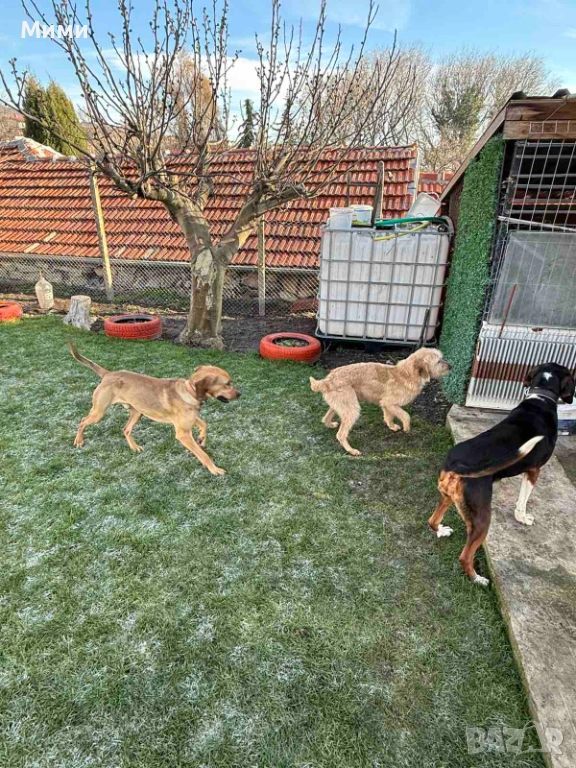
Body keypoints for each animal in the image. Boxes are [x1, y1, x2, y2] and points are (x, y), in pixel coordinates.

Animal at [68, 342, 240, 476]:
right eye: (227, 384)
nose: (240, 394)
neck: (190, 391)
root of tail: (108, 374)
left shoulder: (189, 421)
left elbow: (204, 424)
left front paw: (202, 439)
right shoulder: (183, 434)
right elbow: (203, 454)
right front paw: (214, 469)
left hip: (138, 413)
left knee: (126, 429)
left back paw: (135, 447)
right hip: (99, 412)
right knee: (82, 421)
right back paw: (79, 441)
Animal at [310, 348, 451, 455]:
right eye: (438, 361)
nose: (451, 366)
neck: (408, 373)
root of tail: (326, 381)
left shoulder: (386, 404)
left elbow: (389, 416)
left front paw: (392, 426)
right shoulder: (389, 402)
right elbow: (406, 415)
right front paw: (406, 427)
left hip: (342, 404)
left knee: (326, 417)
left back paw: (330, 424)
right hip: (352, 409)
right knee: (341, 434)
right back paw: (351, 450)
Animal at [428, 362, 575, 586]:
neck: (541, 396)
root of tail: (456, 466)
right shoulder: (534, 470)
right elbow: (522, 501)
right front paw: (522, 518)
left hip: (447, 497)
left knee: (432, 521)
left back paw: (442, 531)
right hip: (482, 520)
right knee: (465, 556)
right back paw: (478, 579)